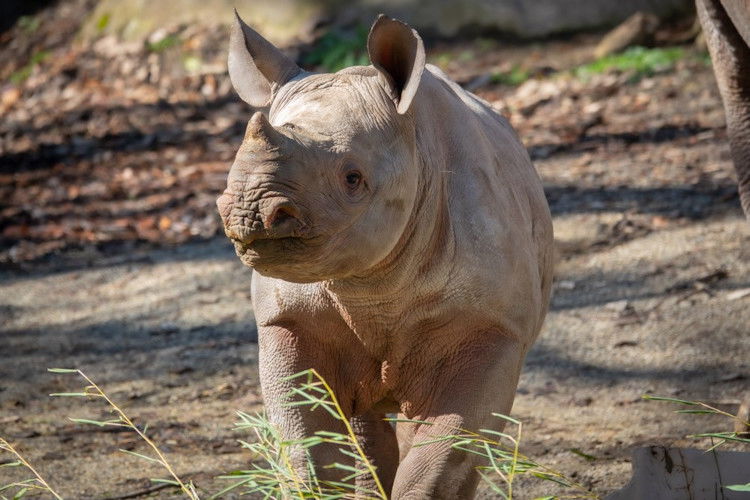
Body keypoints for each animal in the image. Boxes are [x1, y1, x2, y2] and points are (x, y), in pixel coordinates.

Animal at [220, 12, 556, 500]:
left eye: (353, 178)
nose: (249, 211)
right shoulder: (289, 320)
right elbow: (309, 446)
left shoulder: (491, 328)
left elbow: (443, 454)